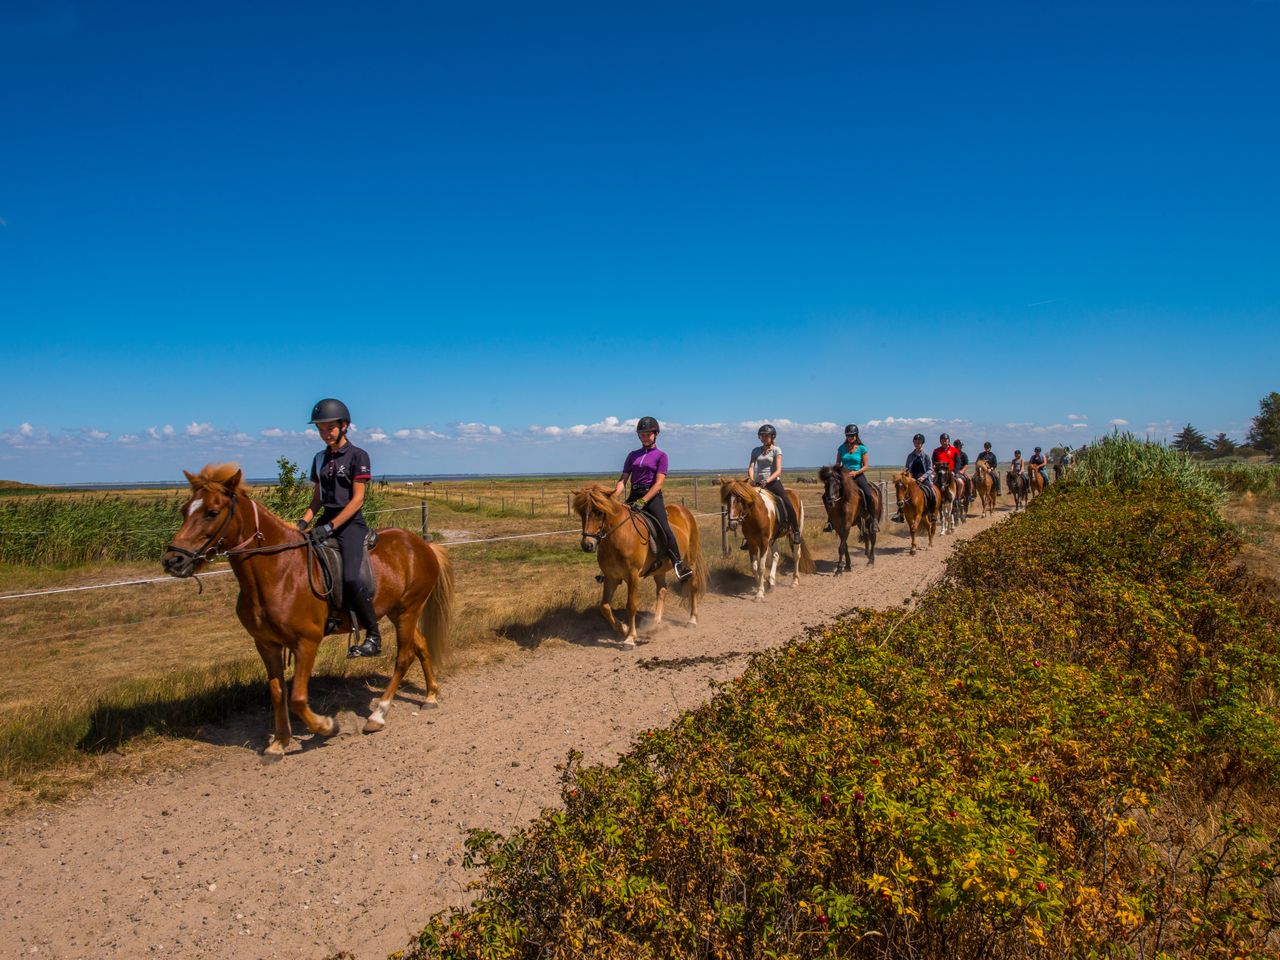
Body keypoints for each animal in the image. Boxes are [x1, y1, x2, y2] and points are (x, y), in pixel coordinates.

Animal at [162, 463, 455, 757]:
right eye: (184, 510)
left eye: (212, 512)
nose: (173, 560)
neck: (280, 571)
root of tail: (421, 545)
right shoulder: (266, 644)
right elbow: (278, 693)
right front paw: (278, 743)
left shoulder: (307, 642)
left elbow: (298, 698)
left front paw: (327, 726)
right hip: (398, 612)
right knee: (421, 645)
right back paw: (431, 695)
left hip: (408, 610)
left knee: (404, 656)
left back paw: (378, 715)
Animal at [576, 488, 706, 647]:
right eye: (582, 512)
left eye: (599, 512)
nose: (587, 545)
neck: (620, 535)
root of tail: (684, 510)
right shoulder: (611, 577)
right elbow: (604, 607)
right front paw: (623, 629)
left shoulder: (633, 576)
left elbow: (631, 605)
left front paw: (630, 638)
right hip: (659, 569)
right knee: (662, 590)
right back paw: (655, 625)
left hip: (690, 560)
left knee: (693, 585)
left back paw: (692, 620)